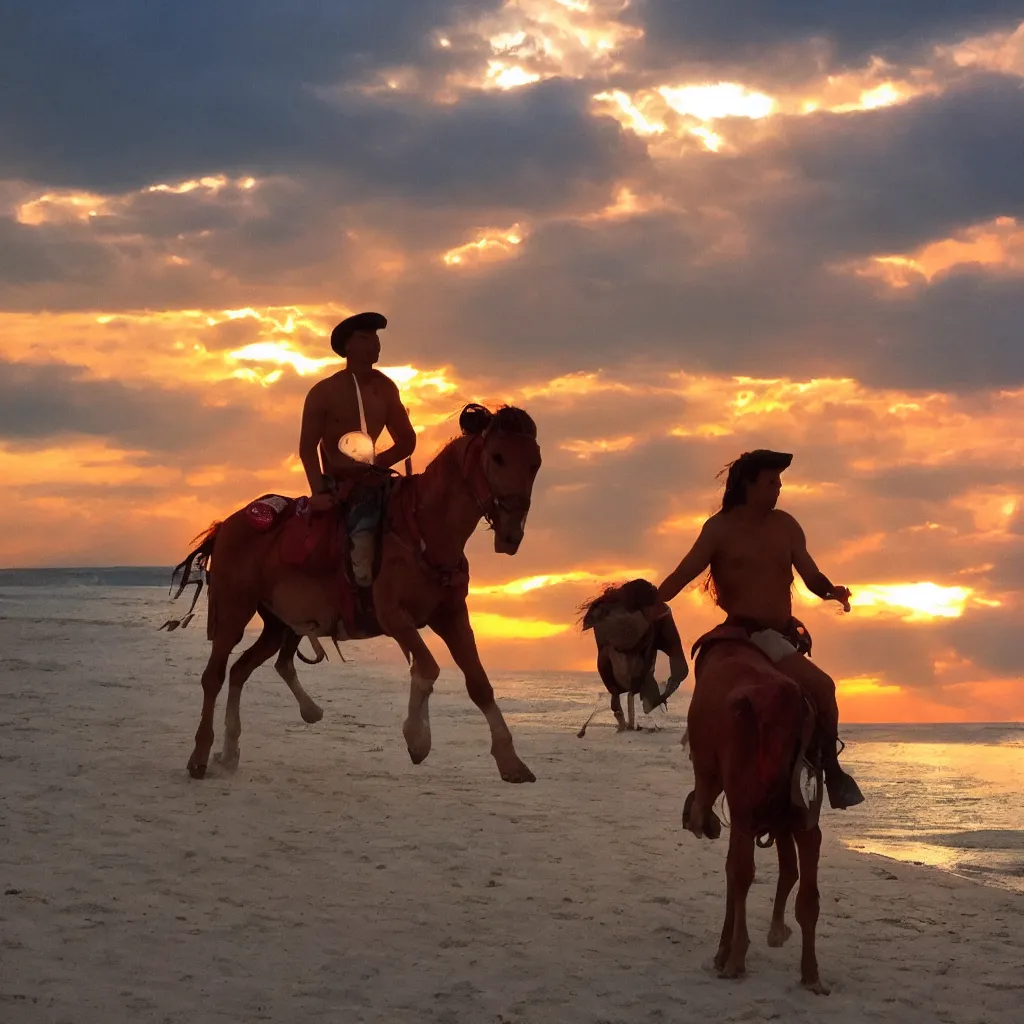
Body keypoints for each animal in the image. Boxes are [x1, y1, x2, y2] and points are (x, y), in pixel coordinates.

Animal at [165, 401, 544, 782]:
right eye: (497, 457)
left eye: (535, 463)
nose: (512, 533)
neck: (422, 532)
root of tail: (227, 525)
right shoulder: (394, 617)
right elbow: (428, 667)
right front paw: (417, 738)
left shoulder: (451, 616)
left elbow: (478, 682)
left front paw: (510, 760)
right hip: (234, 610)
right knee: (214, 676)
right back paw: (200, 756)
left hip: (276, 624)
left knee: (241, 670)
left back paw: (232, 751)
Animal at [679, 634, 831, 995]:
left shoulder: (737, 804)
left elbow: (735, 870)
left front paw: (725, 952)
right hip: (793, 814)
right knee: (805, 886)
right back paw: (809, 973)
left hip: (745, 805)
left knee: (742, 871)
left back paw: (736, 957)